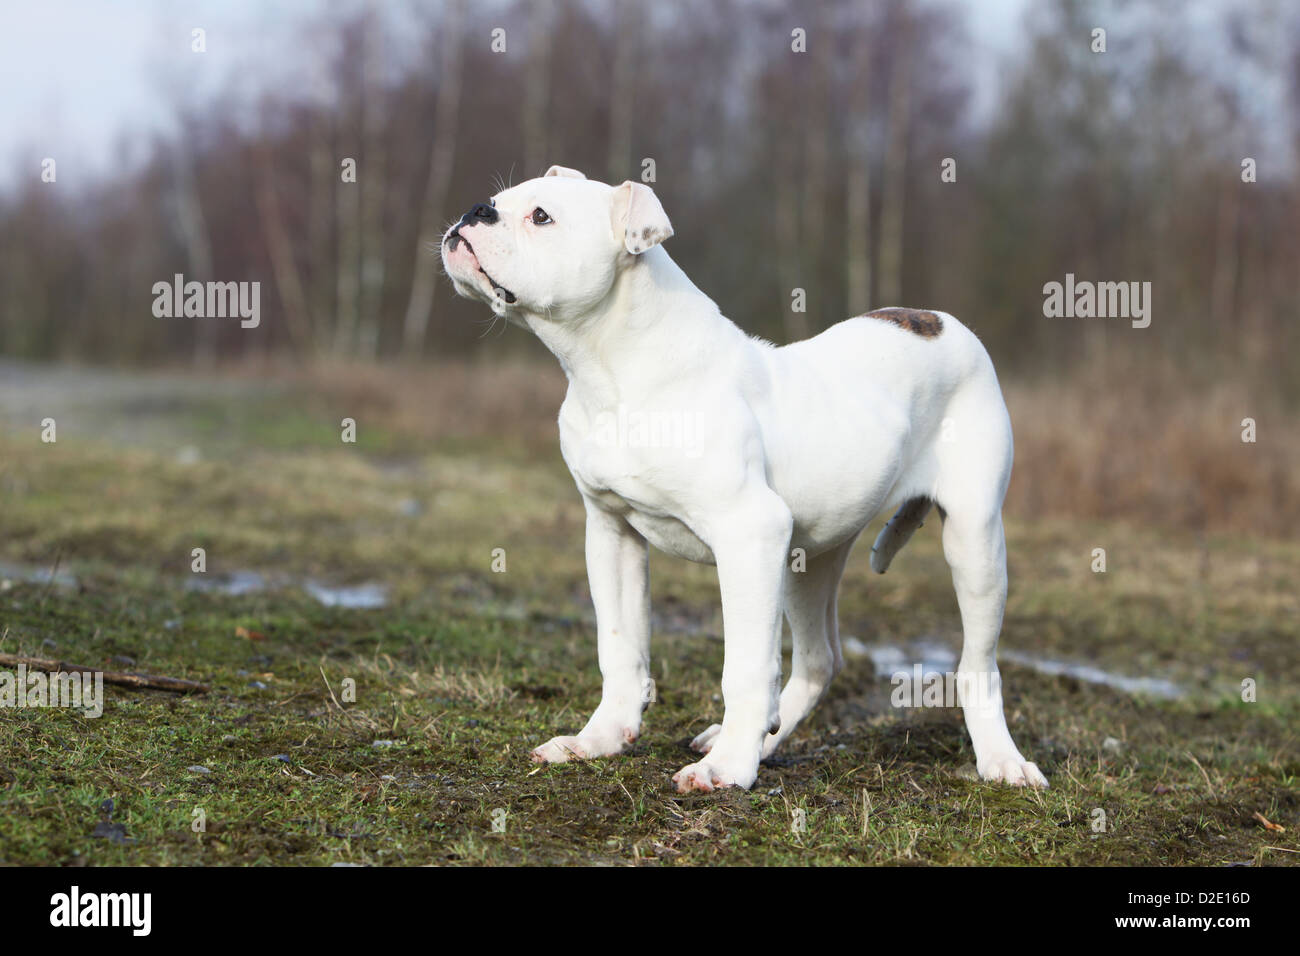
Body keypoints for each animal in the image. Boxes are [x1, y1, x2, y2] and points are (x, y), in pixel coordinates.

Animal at [441, 164, 1050, 790]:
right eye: (500, 199)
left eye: (542, 216)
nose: (474, 210)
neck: (613, 369)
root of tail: (943, 322)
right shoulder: (611, 531)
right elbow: (619, 648)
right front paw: (600, 739)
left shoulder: (749, 533)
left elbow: (745, 665)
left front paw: (728, 768)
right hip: (810, 558)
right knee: (820, 659)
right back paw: (767, 737)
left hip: (974, 542)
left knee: (978, 664)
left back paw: (1001, 761)